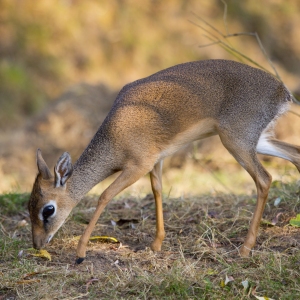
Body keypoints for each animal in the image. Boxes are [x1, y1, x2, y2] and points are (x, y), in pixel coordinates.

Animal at [27, 60, 298, 262]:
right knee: (294, 155)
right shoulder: (156, 161)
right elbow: (157, 190)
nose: (37, 244)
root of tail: (282, 92)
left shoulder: (137, 166)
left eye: (48, 209)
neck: (115, 135)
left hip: (237, 142)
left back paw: (245, 248)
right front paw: (156, 244)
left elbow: (104, 195)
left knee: (265, 179)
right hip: (257, 141)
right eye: (29, 207)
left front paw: (81, 252)